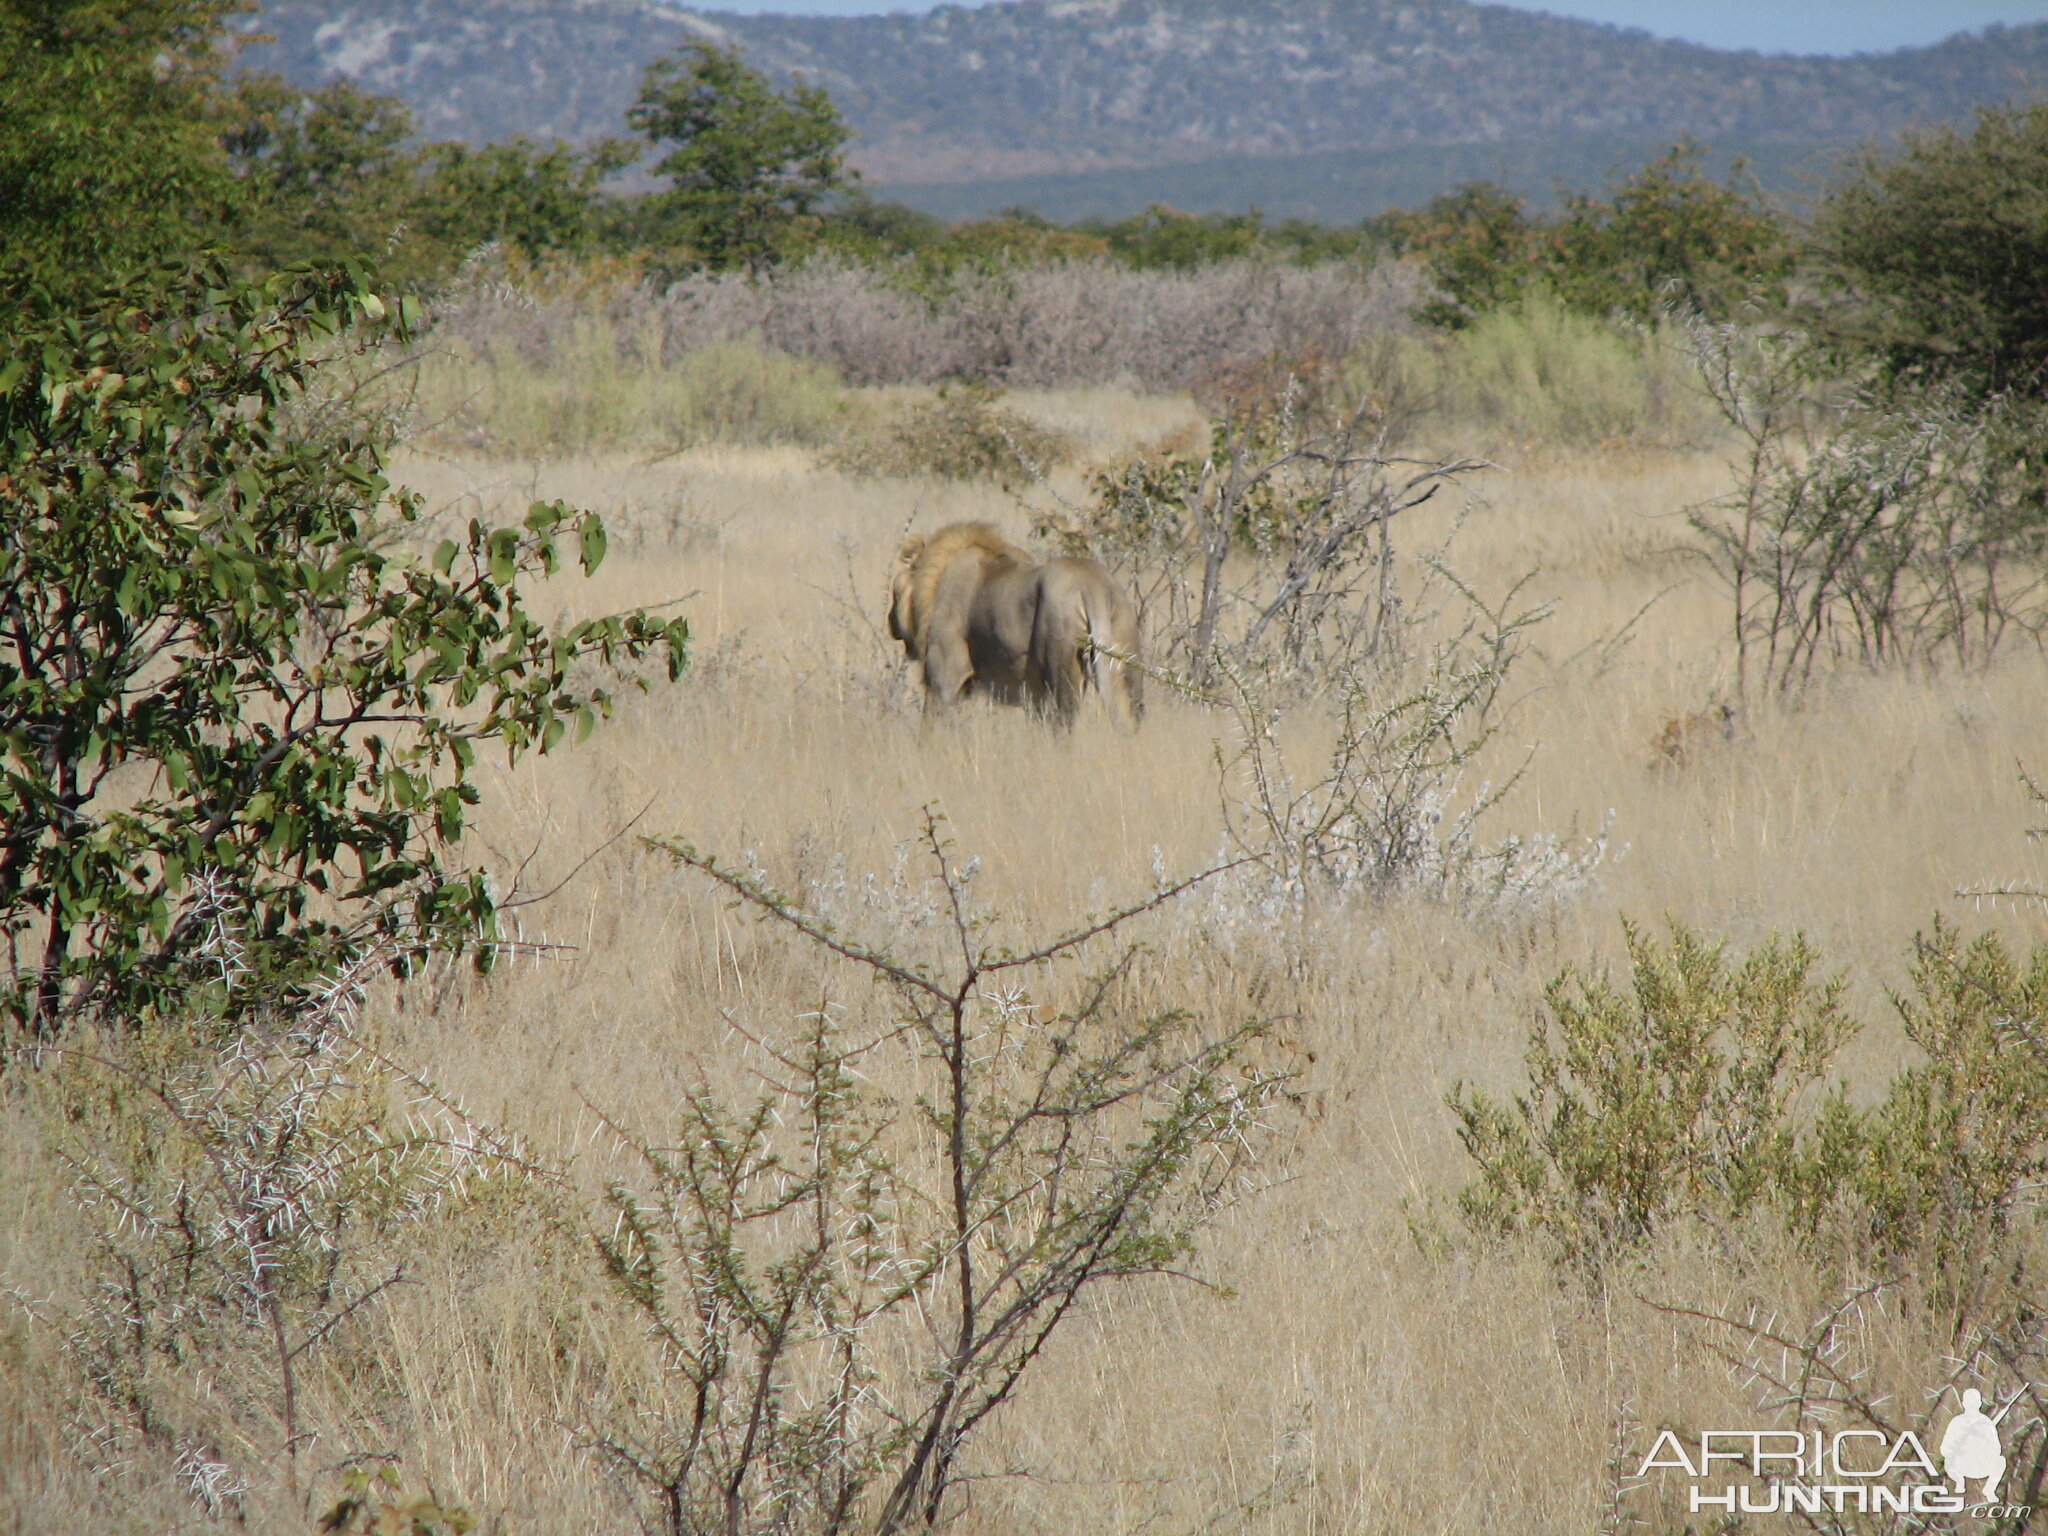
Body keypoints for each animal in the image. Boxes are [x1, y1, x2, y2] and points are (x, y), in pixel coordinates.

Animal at [888, 524, 1146, 729]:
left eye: (893, 593)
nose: (890, 621)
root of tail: (1093, 585)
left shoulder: (944, 676)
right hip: (1125, 664)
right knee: (1130, 714)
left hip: (1060, 666)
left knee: (1063, 724)